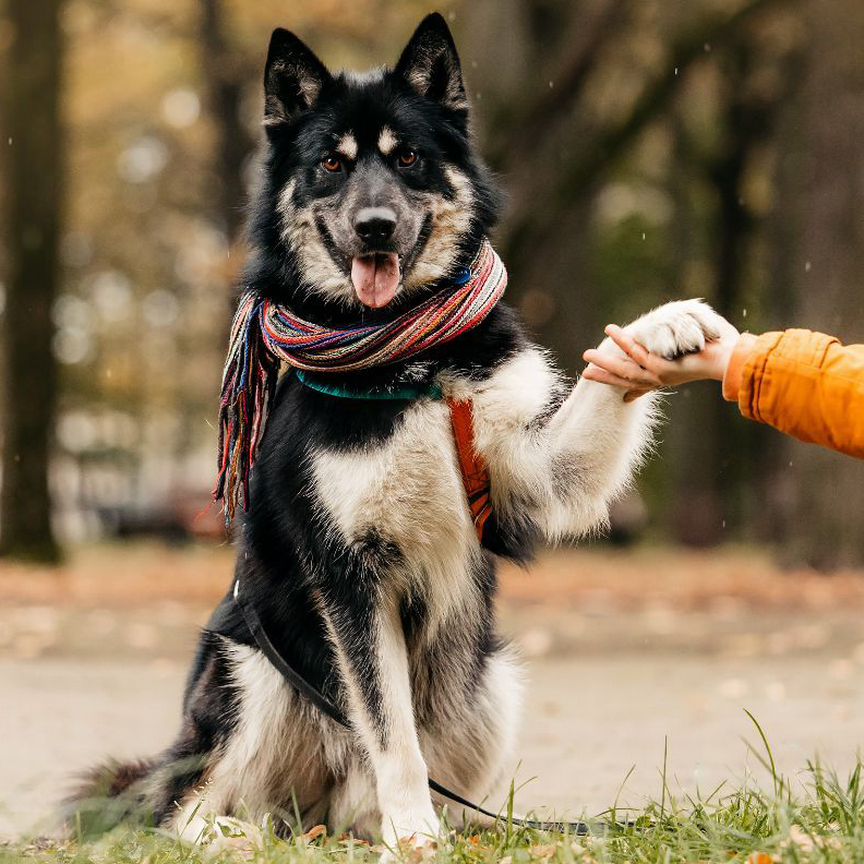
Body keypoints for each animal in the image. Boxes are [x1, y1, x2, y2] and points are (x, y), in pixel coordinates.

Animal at [72, 10, 724, 852]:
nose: (375, 226)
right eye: (331, 164)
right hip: (251, 670)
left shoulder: (532, 477)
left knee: (374, 801)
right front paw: (412, 832)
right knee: (177, 808)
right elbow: (391, 731)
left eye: (408, 156)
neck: (411, 362)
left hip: (492, 681)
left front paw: (663, 327)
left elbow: (598, 386)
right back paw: (243, 835)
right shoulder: (350, 574)